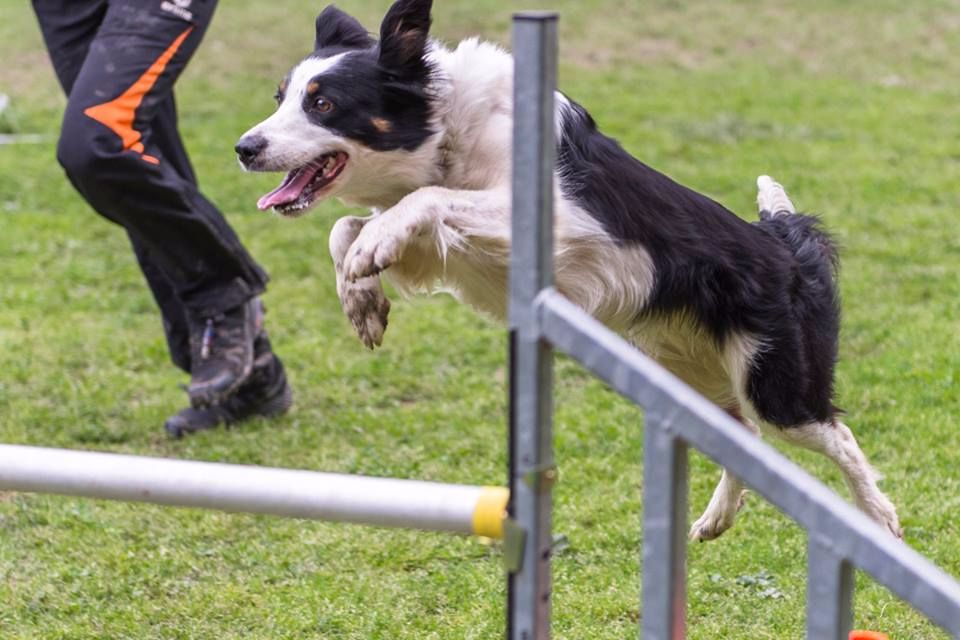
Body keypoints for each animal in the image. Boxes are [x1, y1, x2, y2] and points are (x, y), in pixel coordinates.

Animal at [238, 0, 900, 540]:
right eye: (280, 99)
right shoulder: (445, 250)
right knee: (747, 438)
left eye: (323, 103)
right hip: (687, 375)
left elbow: (420, 202)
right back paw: (716, 518)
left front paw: (369, 258)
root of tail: (783, 242)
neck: (446, 132)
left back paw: (879, 519)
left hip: (774, 378)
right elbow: (349, 229)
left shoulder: (560, 221)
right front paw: (363, 298)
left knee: (830, 434)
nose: (244, 148)